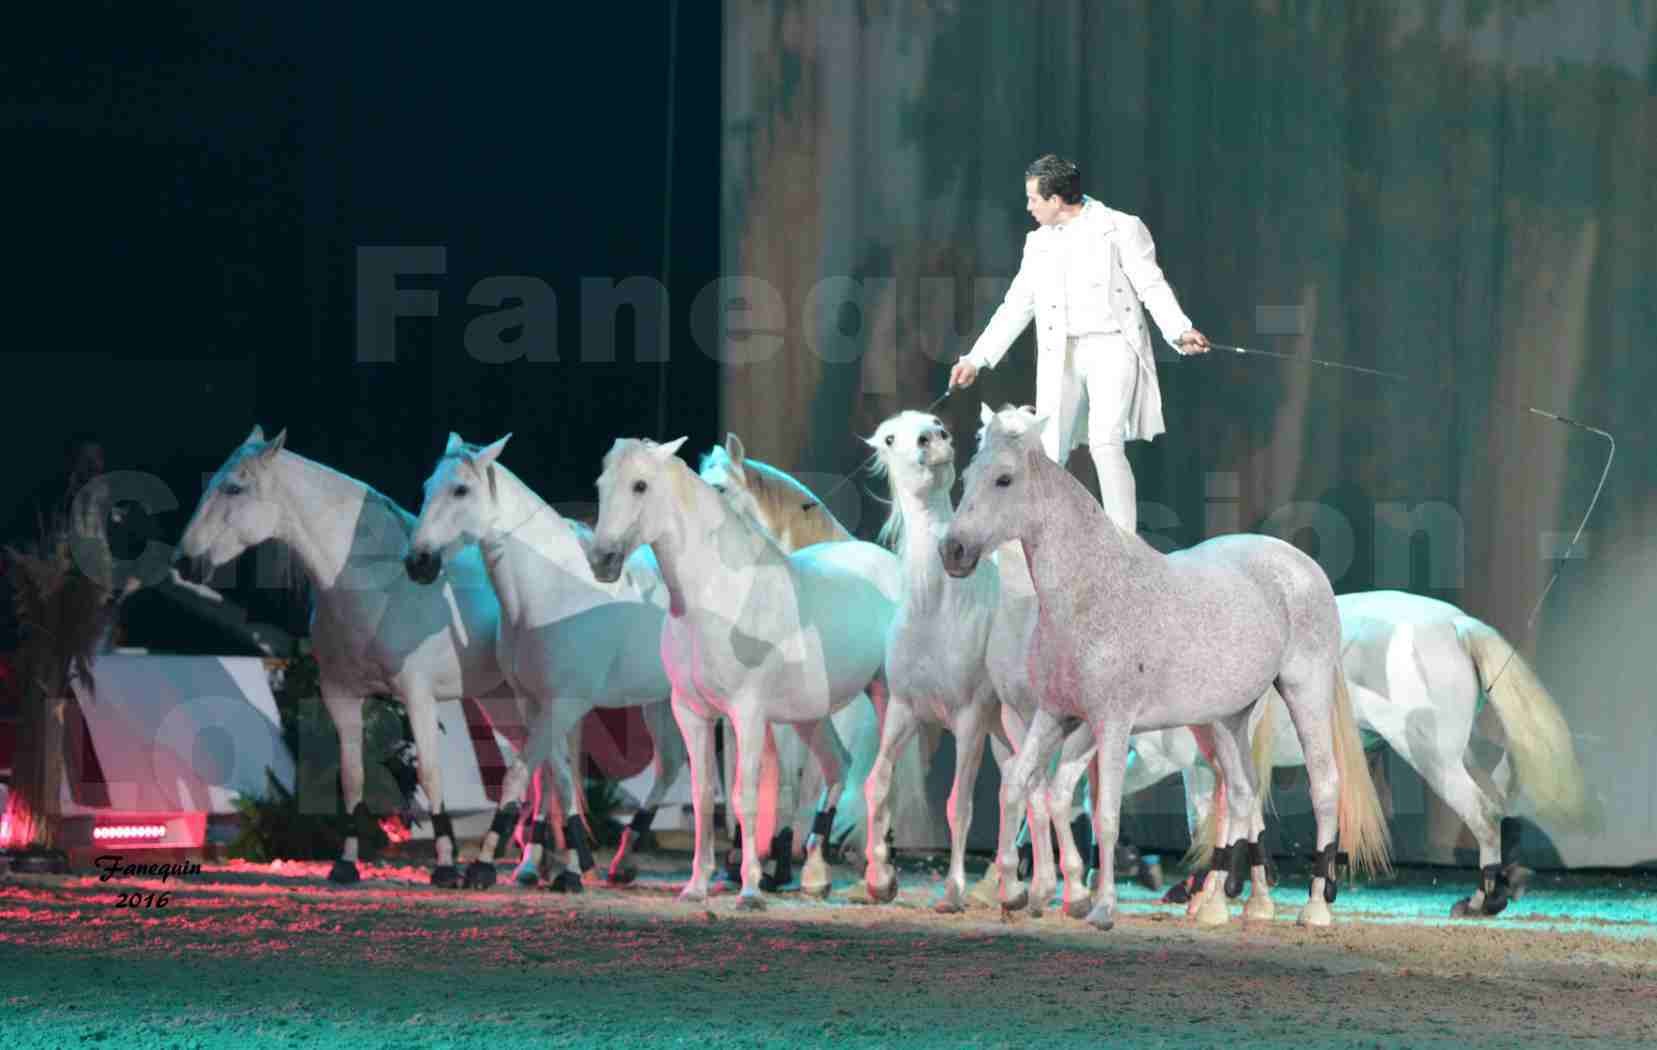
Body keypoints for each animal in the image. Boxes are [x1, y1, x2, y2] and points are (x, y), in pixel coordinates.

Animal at [173, 423, 510, 881]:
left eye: (234, 487)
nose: (184, 562)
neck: (380, 587)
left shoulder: (418, 698)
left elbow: (430, 775)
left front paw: (443, 867)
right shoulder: (341, 695)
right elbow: (351, 778)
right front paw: (346, 865)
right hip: (504, 698)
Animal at [404, 430, 689, 887]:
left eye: (460, 489)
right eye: (428, 486)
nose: (418, 562)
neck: (550, 591)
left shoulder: (565, 704)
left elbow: (522, 774)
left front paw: (485, 864)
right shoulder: (535, 700)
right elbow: (558, 779)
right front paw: (568, 867)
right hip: (659, 699)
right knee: (672, 764)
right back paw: (625, 859)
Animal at [583, 437, 894, 900]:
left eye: (640, 485)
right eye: (601, 484)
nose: (602, 560)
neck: (721, 595)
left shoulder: (749, 714)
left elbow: (748, 795)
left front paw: (751, 887)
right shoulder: (693, 712)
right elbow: (704, 795)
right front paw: (698, 885)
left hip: (890, 698)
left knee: (883, 777)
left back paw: (881, 877)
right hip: (810, 715)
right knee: (838, 764)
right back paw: (817, 872)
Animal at [941, 409, 1391, 920]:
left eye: (1004, 479)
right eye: (966, 477)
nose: (952, 551)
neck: (1091, 590)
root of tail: (1303, 566)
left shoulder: (1112, 725)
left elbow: (1106, 813)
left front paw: (1102, 907)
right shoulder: (1055, 715)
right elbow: (1022, 786)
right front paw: (1021, 893)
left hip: (1305, 691)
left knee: (1324, 786)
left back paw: (1313, 907)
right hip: (1226, 720)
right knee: (1242, 794)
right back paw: (1230, 906)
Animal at [1126, 589, 1590, 914]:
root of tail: (1458, 623)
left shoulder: (1163, 757)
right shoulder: (1209, 761)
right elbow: (1225, 816)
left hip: (1432, 757)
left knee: (1483, 813)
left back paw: (1481, 900)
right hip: (1462, 754)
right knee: (1498, 802)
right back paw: (1505, 888)